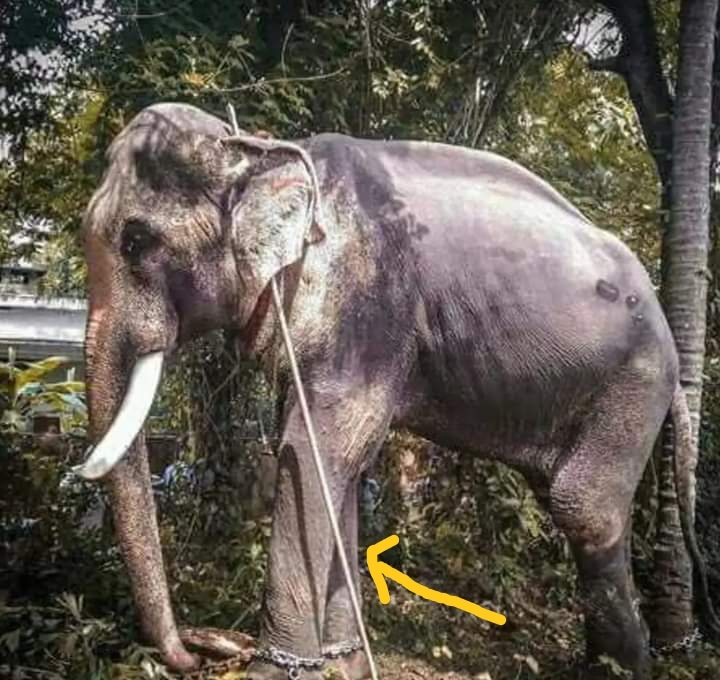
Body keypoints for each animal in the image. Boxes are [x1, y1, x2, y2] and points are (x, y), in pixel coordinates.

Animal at [76, 101, 716, 680]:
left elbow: (313, 449)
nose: (202, 653)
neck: (260, 150)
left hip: (633, 384)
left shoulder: (365, 303)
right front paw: (344, 664)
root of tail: (671, 340)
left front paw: (278, 673)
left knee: (584, 508)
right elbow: (340, 461)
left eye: (136, 240)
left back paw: (621, 668)